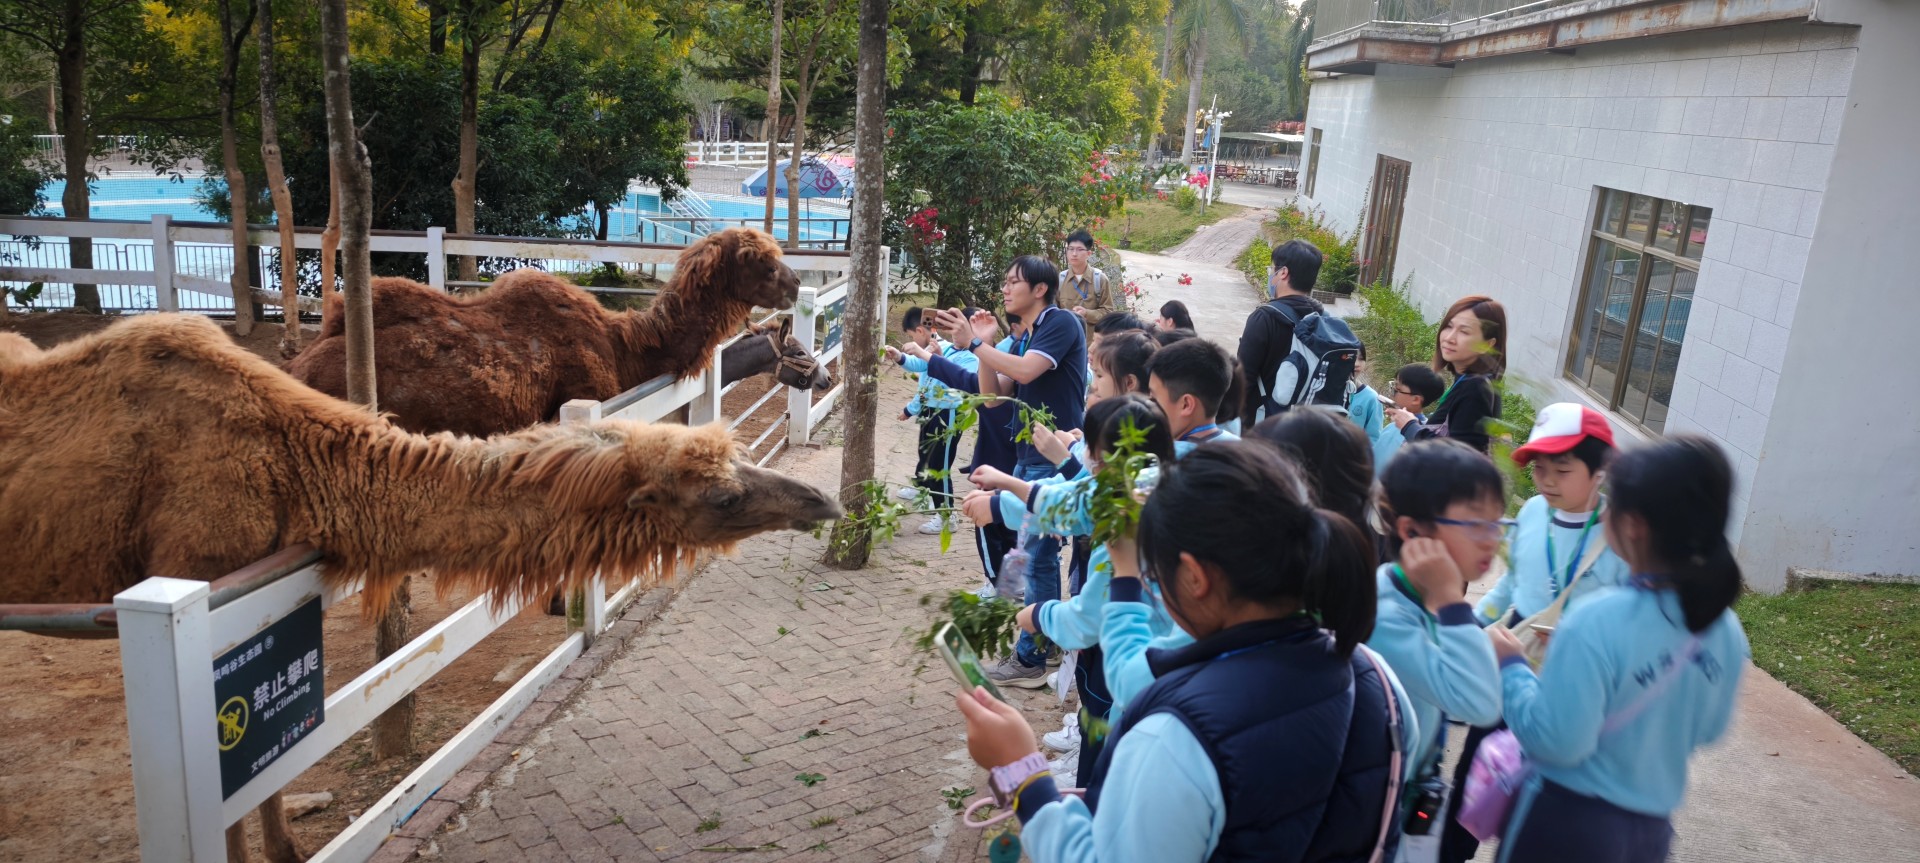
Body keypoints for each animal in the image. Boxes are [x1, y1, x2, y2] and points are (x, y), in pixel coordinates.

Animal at [0, 314, 841, 862]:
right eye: (723, 496)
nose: (824, 502)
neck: (291, 463)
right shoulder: (201, 578)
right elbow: (226, 788)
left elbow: (266, 765)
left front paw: (288, 847)